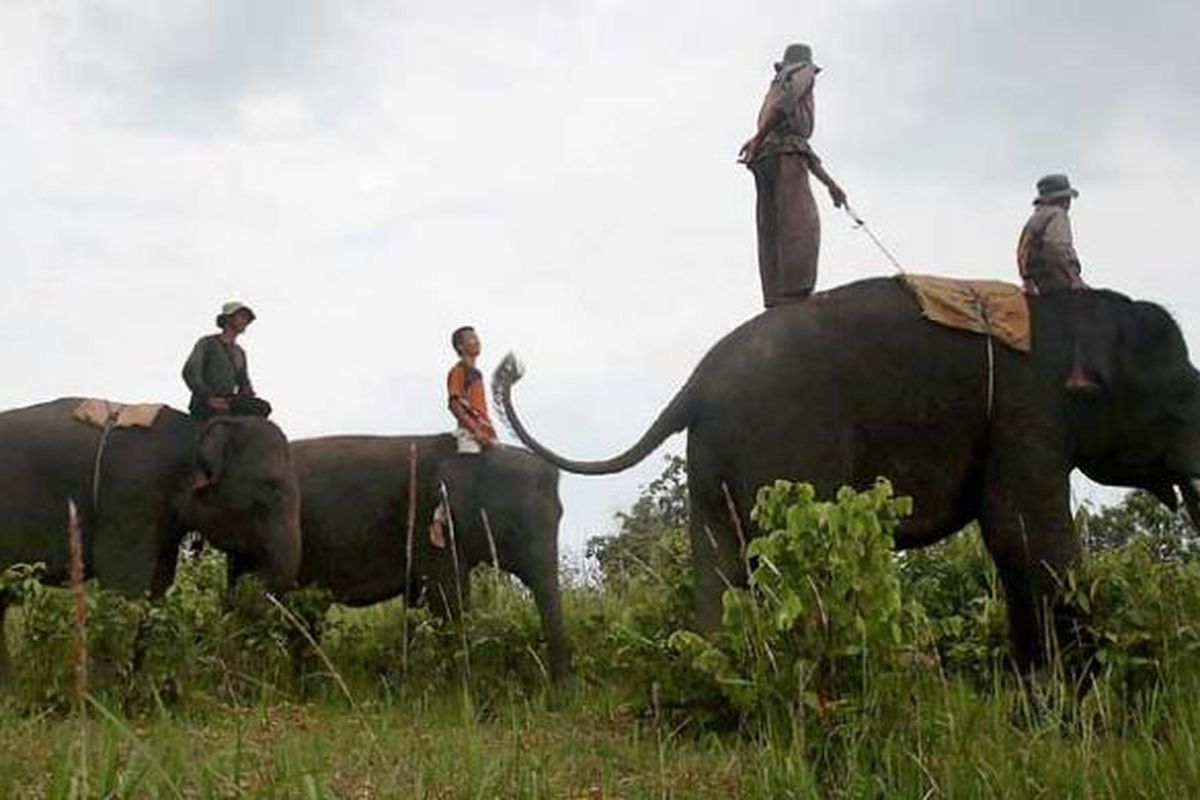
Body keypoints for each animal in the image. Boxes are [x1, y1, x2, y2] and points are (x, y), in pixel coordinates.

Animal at [291, 434, 571, 686]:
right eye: (511, 530)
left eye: (560, 516)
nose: (559, 695)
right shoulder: (430, 528)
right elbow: (449, 600)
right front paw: (462, 692)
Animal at [492, 278, 1200, 666]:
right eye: (1178, 403)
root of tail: (694, 382)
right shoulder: (1025, 416)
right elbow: (1023, 535)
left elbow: (1013, 543)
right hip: (785, 446)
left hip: (711, 464)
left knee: (718, 560)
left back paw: (719, 670)